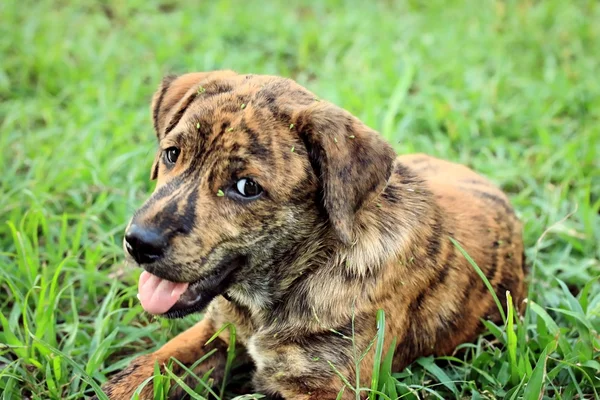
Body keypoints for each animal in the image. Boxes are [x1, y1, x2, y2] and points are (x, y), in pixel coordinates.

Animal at [101, 72, 528, 400]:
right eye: (172, 154)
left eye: (246, 187)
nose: (138, 243)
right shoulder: (217, 333)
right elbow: (145, 370)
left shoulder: (325, 388)